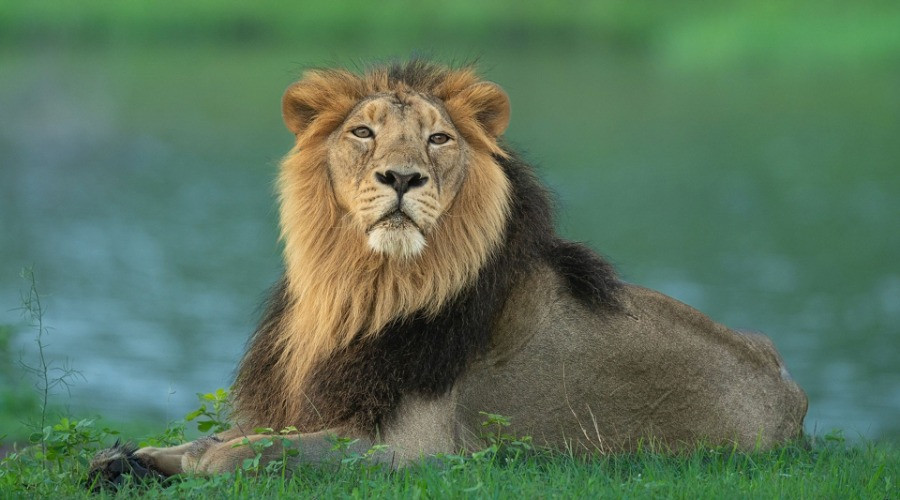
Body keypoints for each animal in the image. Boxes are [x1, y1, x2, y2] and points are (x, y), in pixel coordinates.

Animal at [89, 60, 807, 484]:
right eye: (362, 133)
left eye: (438, 139)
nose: (403, 178)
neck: (359, 288)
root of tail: (792, 390)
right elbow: (224, 436)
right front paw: (127, 459)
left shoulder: (418, 449)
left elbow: (263, 449)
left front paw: (204, 460)